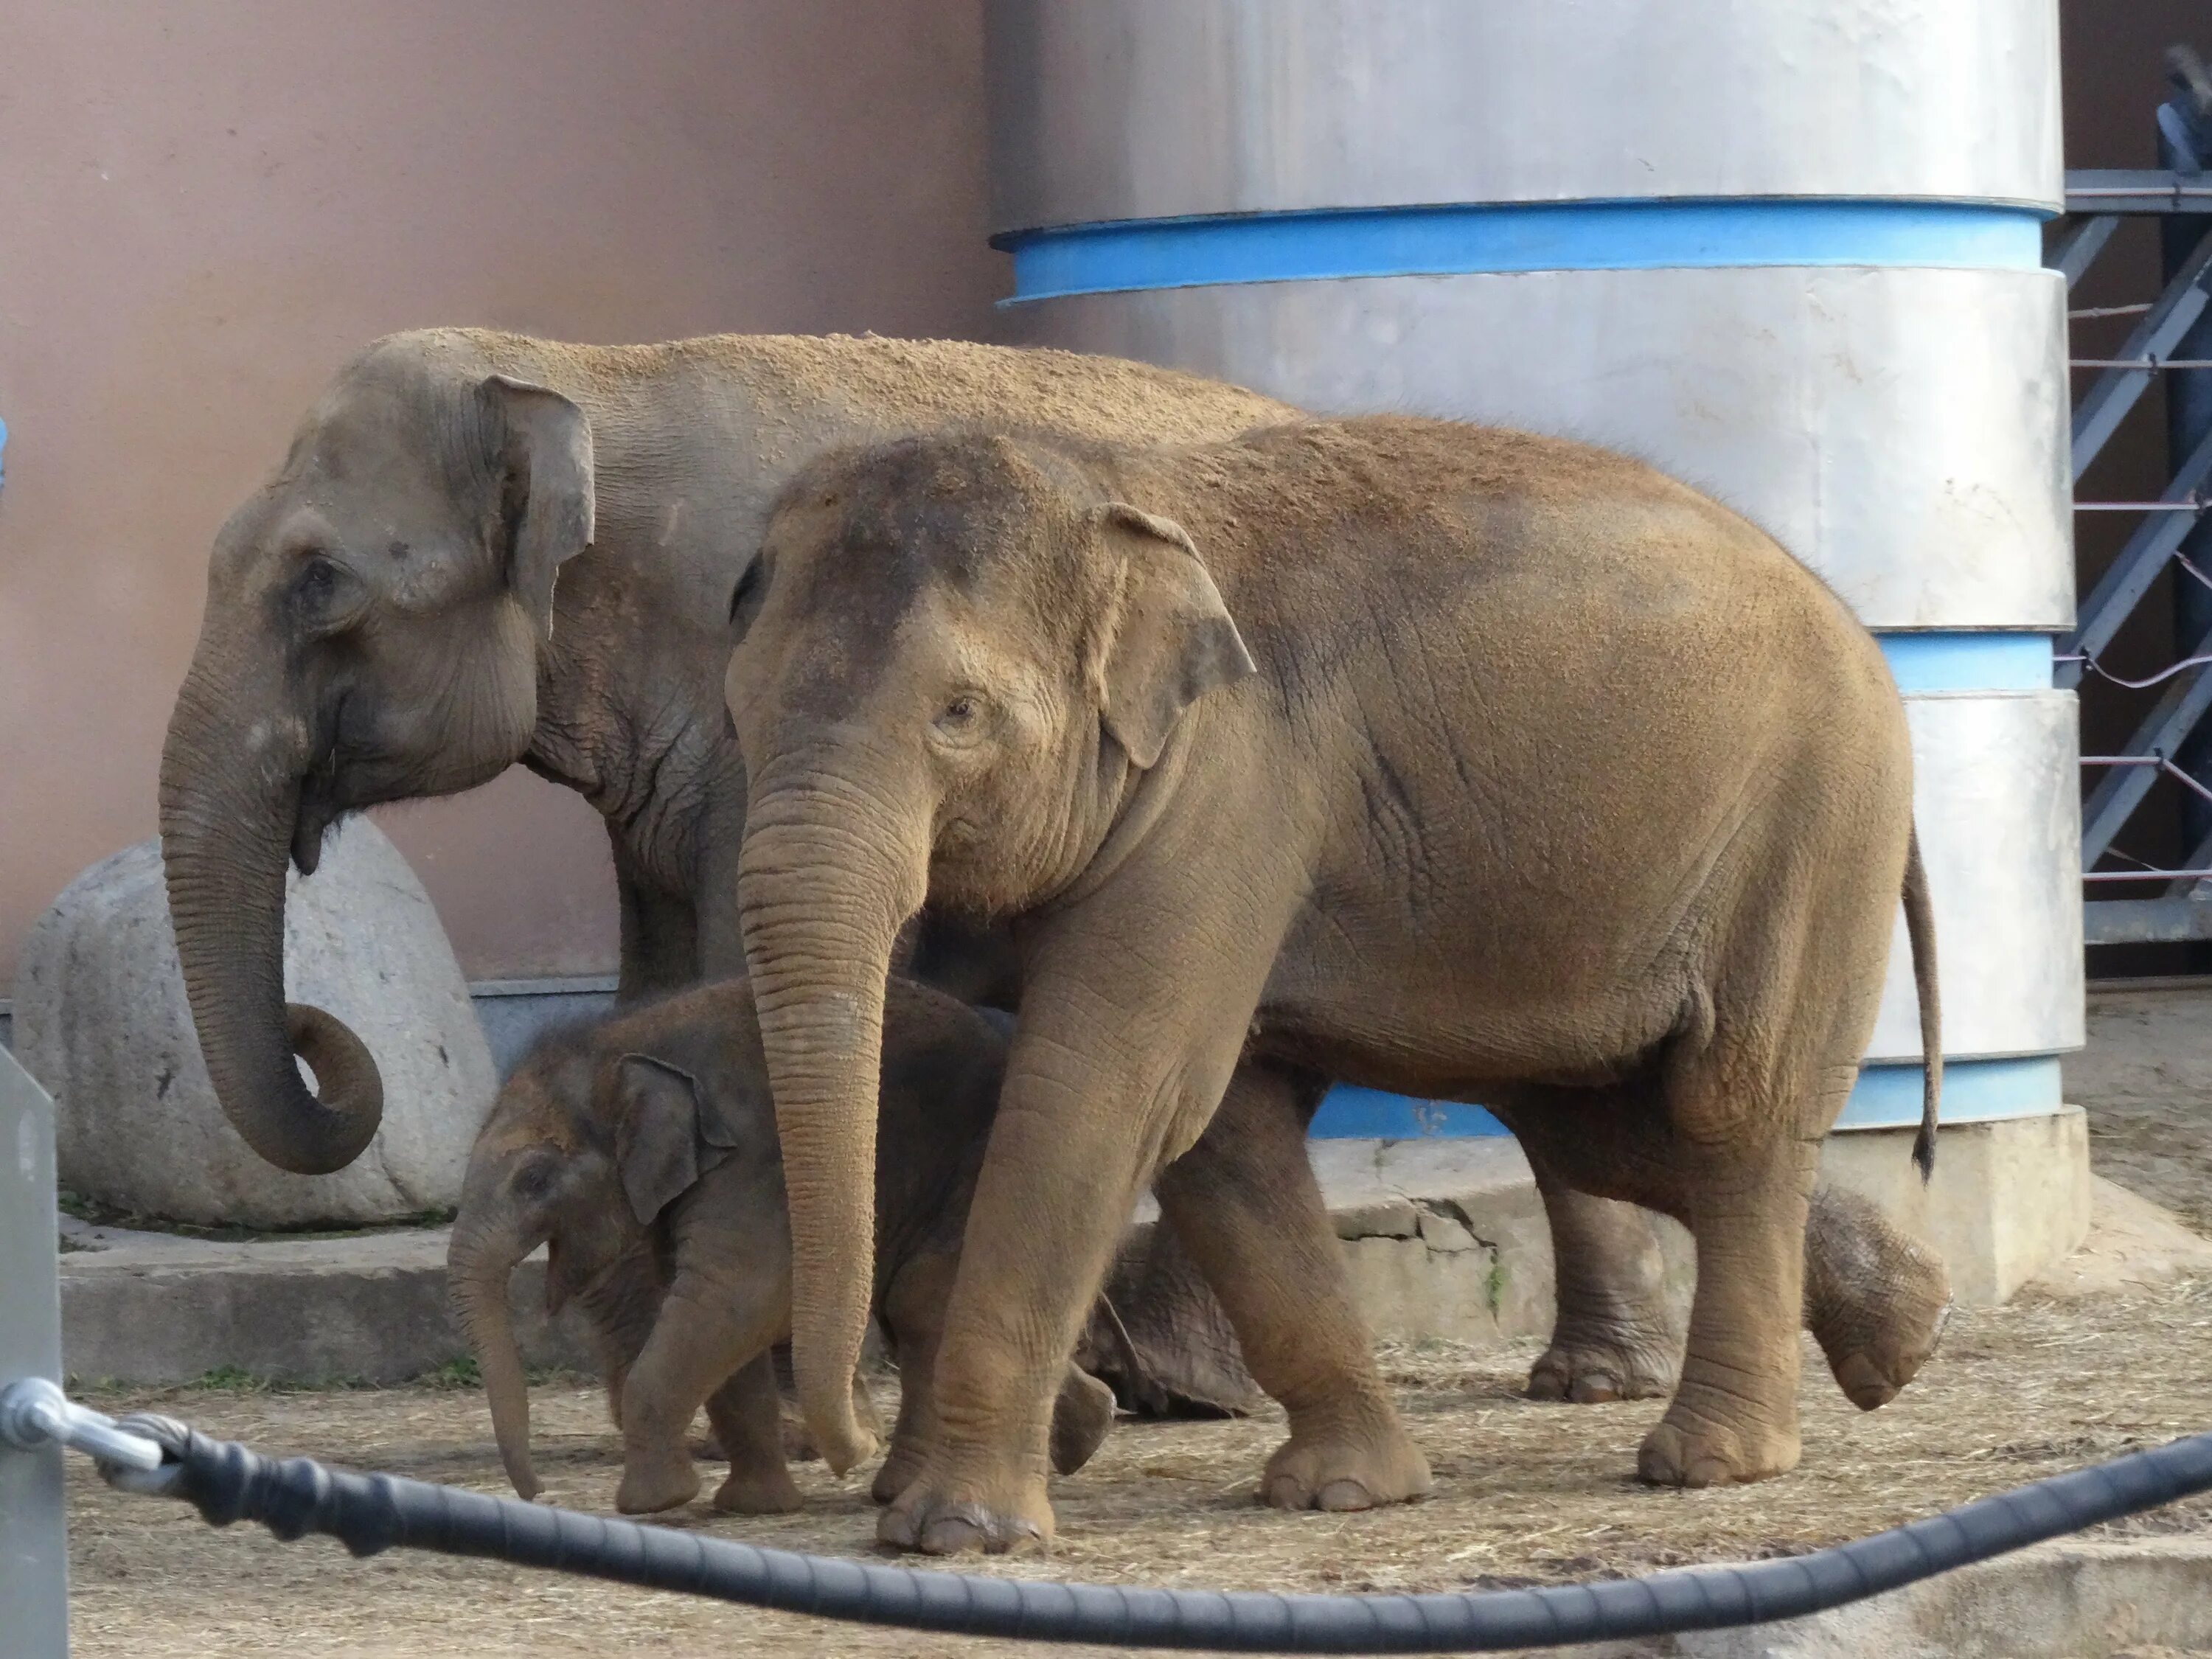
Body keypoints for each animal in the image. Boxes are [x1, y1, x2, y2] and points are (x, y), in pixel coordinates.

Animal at [445, 987, 1124, 1522]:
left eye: (534, 1180)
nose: (536, 1495)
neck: (625, 1040)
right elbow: (718, 1318)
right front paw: (752, 1507)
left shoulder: (752, 1163)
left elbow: (741, 1296)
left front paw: (652, 1504)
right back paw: (1090, 1429)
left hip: (980, 1172)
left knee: (923, 1304)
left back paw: (897, 1489)